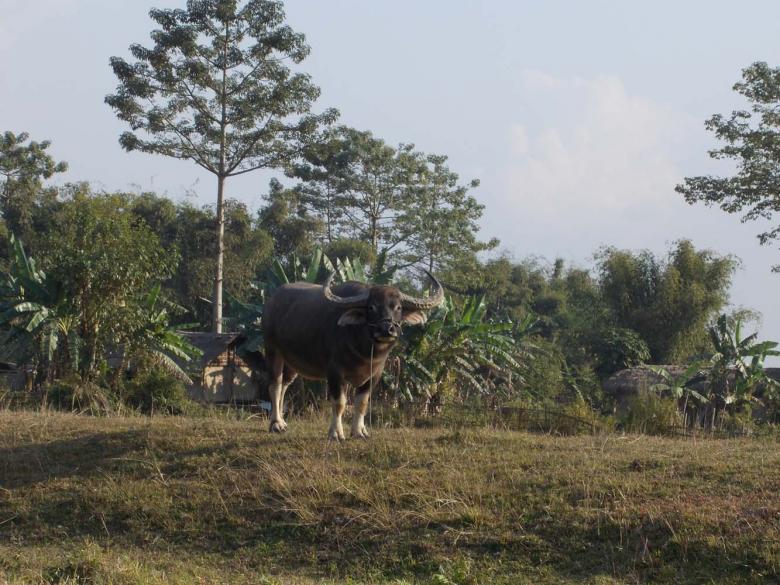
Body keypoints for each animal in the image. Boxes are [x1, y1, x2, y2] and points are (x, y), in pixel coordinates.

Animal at [261, 272, 444, 439]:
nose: (387, 329)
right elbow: (339, 403)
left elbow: (361, 403)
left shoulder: (374, 375)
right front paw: (336, 433)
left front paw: (359, 431)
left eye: (398, 307)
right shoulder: (335, 373)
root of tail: (271, 302)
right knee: (275, 384)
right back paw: (276, 424)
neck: (364, 351)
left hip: (291, 362)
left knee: (285, 385)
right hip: (272, 350)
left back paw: (283, 421)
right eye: (372, 307)